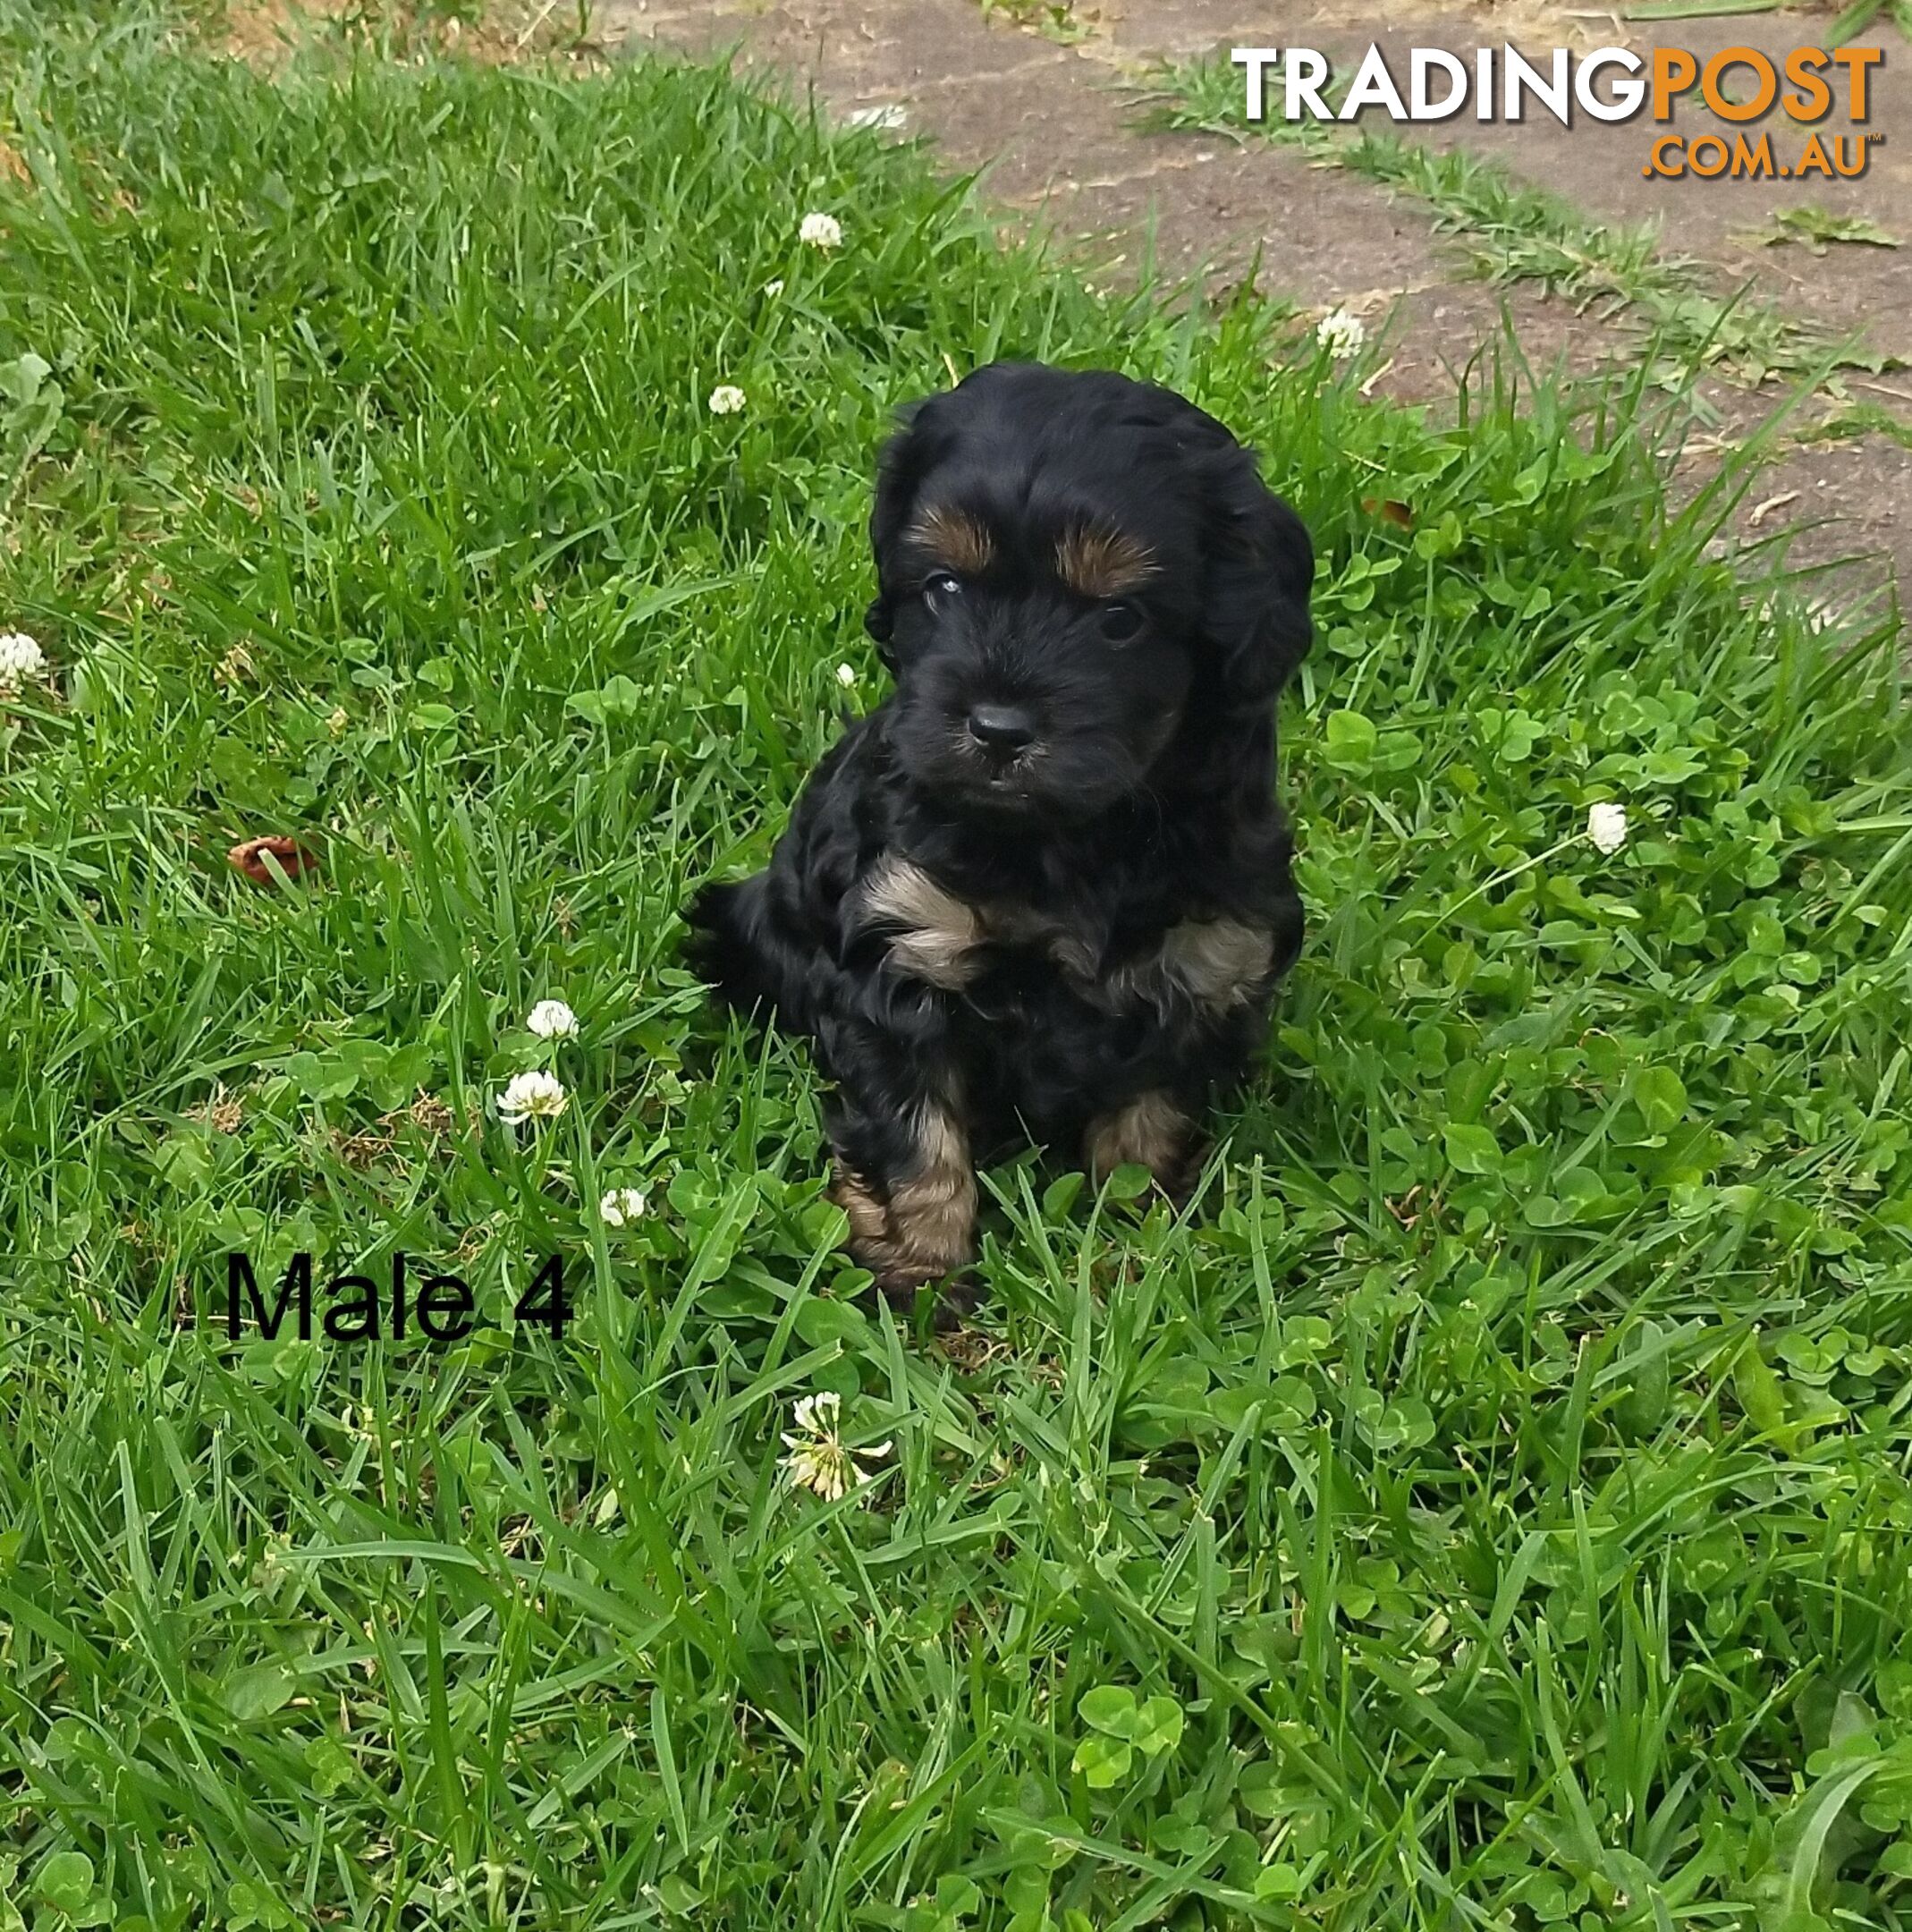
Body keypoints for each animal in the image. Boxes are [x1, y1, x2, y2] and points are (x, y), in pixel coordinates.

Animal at [687, 357, 1313, 1306]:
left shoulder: (1204, 964)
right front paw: (917, 1264)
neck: (1070, 840)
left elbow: (1149, 1117)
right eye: (944, 588)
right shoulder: (902, 952)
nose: (997, 728)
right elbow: (914, 1130)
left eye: (1119, 620)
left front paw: (1131, 1239)